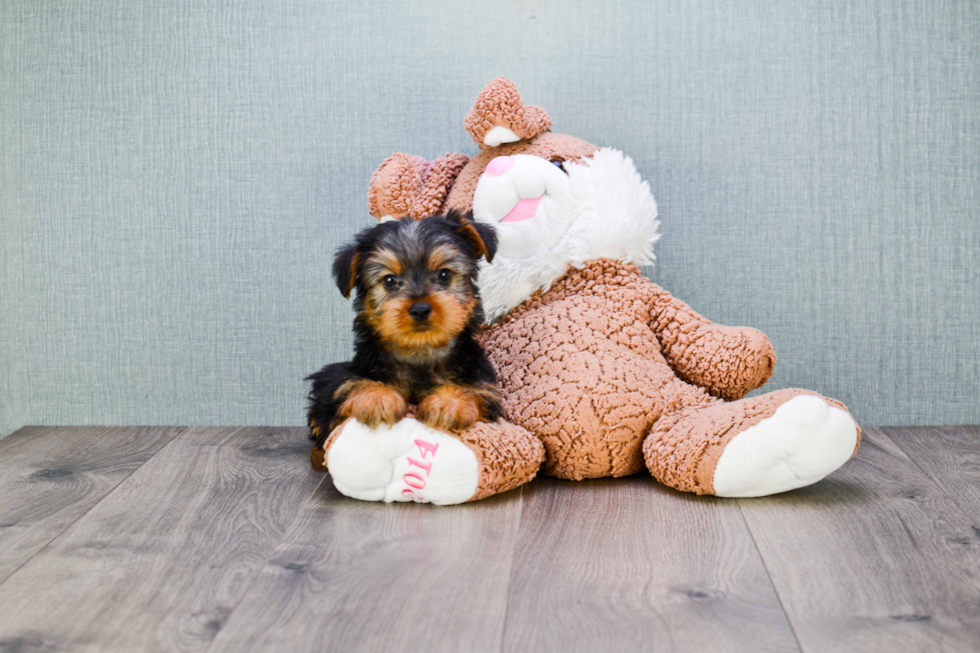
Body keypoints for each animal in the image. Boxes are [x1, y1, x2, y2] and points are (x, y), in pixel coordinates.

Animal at [306, 210, 502, 454]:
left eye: (444, 275)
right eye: (389, 280)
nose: (420, 309)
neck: (419, 350)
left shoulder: (484, 384)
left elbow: (475, 391)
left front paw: (449, 403)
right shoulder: (338, 385)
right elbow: (348, 383)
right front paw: (377, 398)